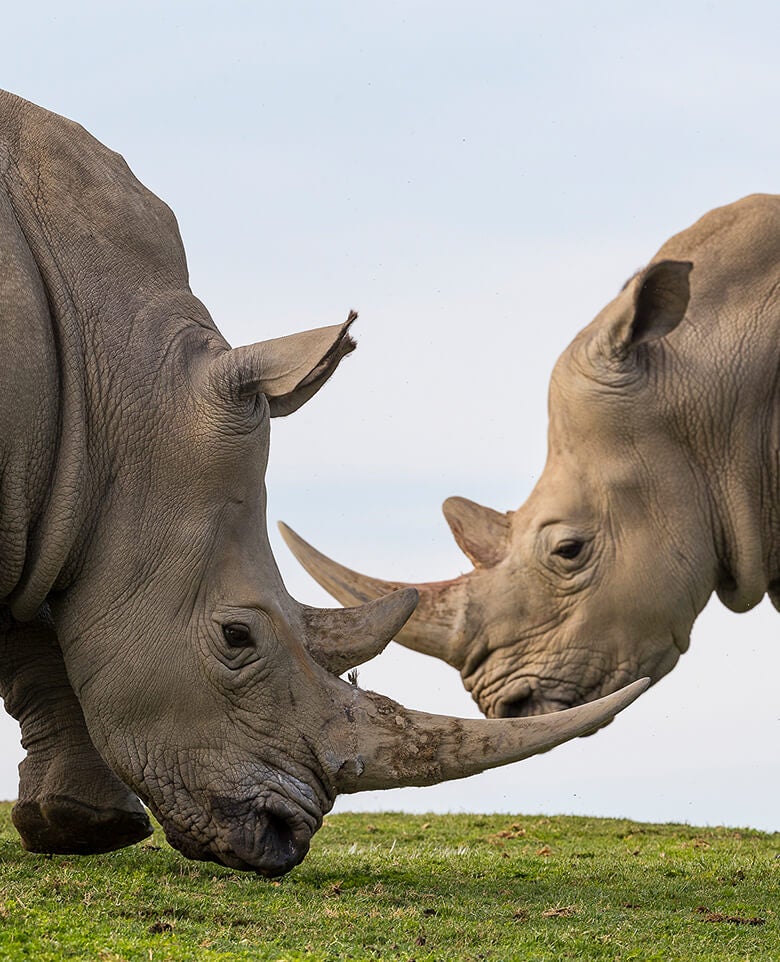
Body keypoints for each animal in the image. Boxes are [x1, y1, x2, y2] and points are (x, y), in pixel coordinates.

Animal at [0, 90, 647, 877]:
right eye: (236, 637)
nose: (284, 837)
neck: (115, 379)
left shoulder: (57, 492)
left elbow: (35, 628)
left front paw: (81, 827)